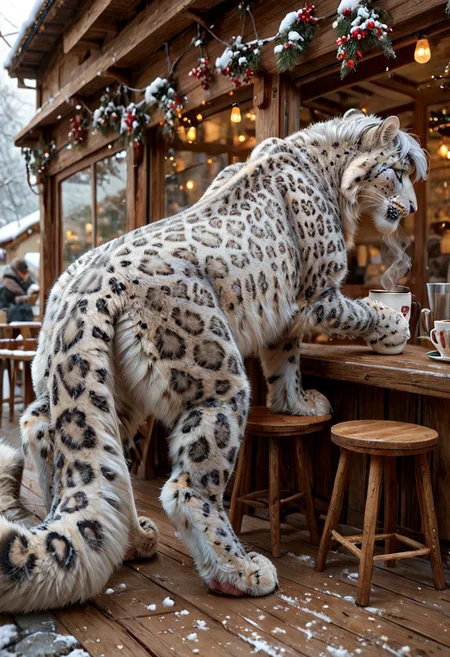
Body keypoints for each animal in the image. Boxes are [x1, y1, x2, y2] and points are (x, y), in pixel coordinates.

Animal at [0, 110, 427, 612]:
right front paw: (393, 328)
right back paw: (239, 570)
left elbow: (285, 361)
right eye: (397, 172)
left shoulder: (287, 318)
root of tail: (83, 287)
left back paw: (134, 538)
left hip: (103, 389)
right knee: (188, 484)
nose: (413, 208)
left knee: (53, 434)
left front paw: (296, 405)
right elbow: (358, 313)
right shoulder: (319, 294)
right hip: (216, 377)